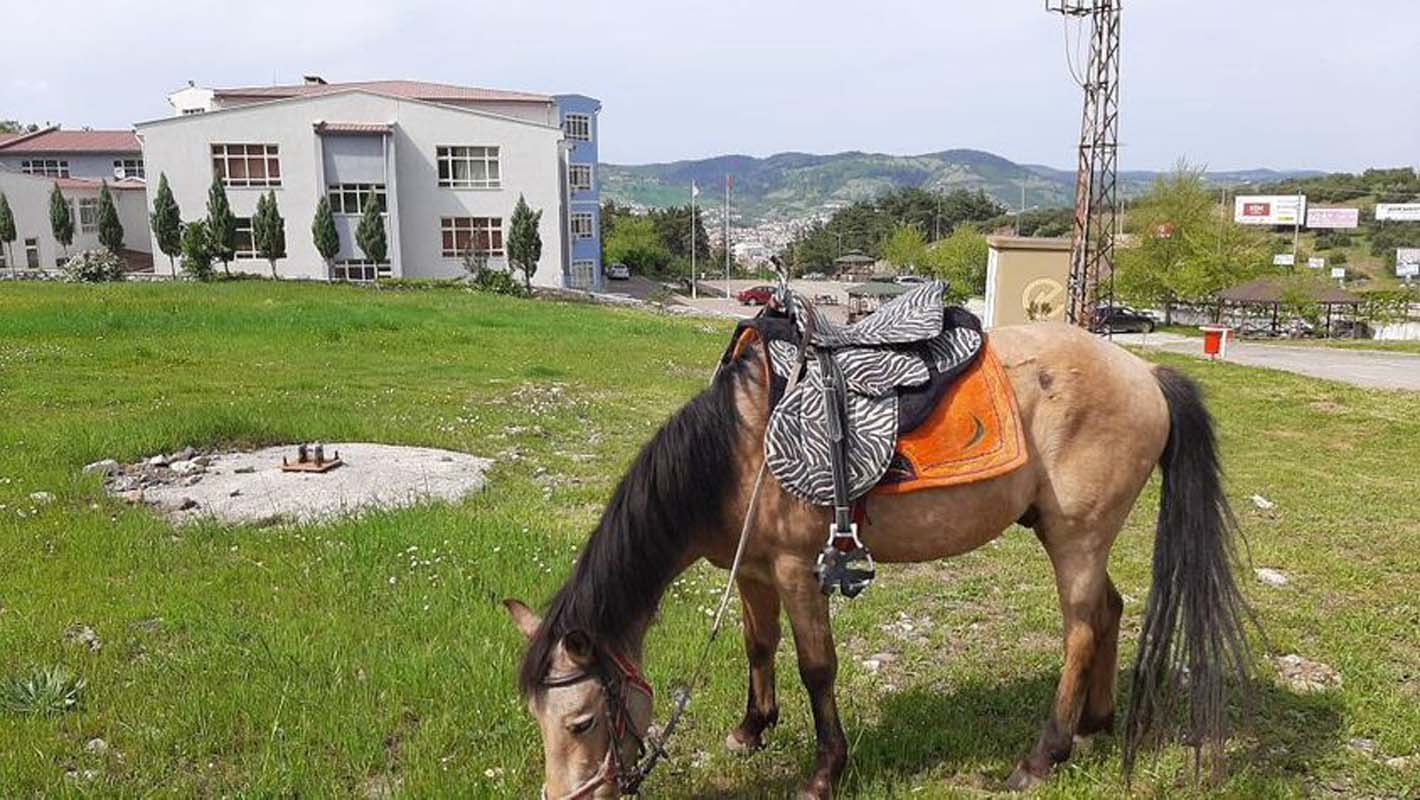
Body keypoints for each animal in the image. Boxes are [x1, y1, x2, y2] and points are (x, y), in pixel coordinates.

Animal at [505, 322, 1249, 795]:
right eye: (536, 720)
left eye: (582, 721)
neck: (740, 449)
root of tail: (1145, 371)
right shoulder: (752, 572)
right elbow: (758, 647)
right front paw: (751, 730)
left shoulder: (797, 570)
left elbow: (817, 667)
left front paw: (824, 771)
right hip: (1075, 535)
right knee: (1111, 610)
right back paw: (1096, 724)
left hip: (1078, 537)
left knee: (1082, 629)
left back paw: (1044, 756)